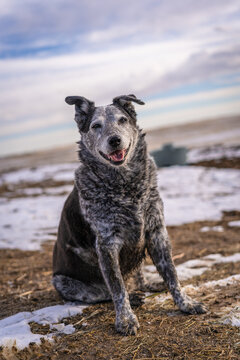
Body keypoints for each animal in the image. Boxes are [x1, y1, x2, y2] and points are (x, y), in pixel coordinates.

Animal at [53, 94, 206, 336]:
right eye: (96, 126)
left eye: (122, 120)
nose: (115, 140)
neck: (125, 187)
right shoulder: (107, 245)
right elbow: (117, 289)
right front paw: (125, 319)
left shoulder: (157, 232)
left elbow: (172, 275)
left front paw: (185, 303)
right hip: (61, 281)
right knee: (103, 293)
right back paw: (133, 297)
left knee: (137, 276)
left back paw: (148, 285)